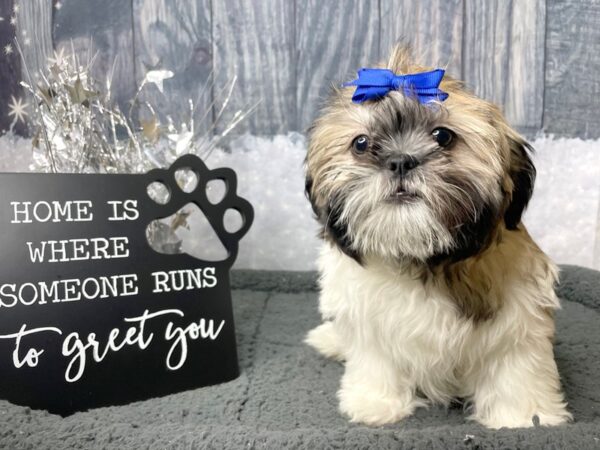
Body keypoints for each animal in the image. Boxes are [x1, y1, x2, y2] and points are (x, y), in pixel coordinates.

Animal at [304, 45, 572, 428]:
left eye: (443, 136)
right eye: (361, 143)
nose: (400, 160)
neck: (421, 256)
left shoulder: (519, 320)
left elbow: (516, 366)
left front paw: (524, 414)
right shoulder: (368, 320)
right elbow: (375, 358)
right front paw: (375, 403)